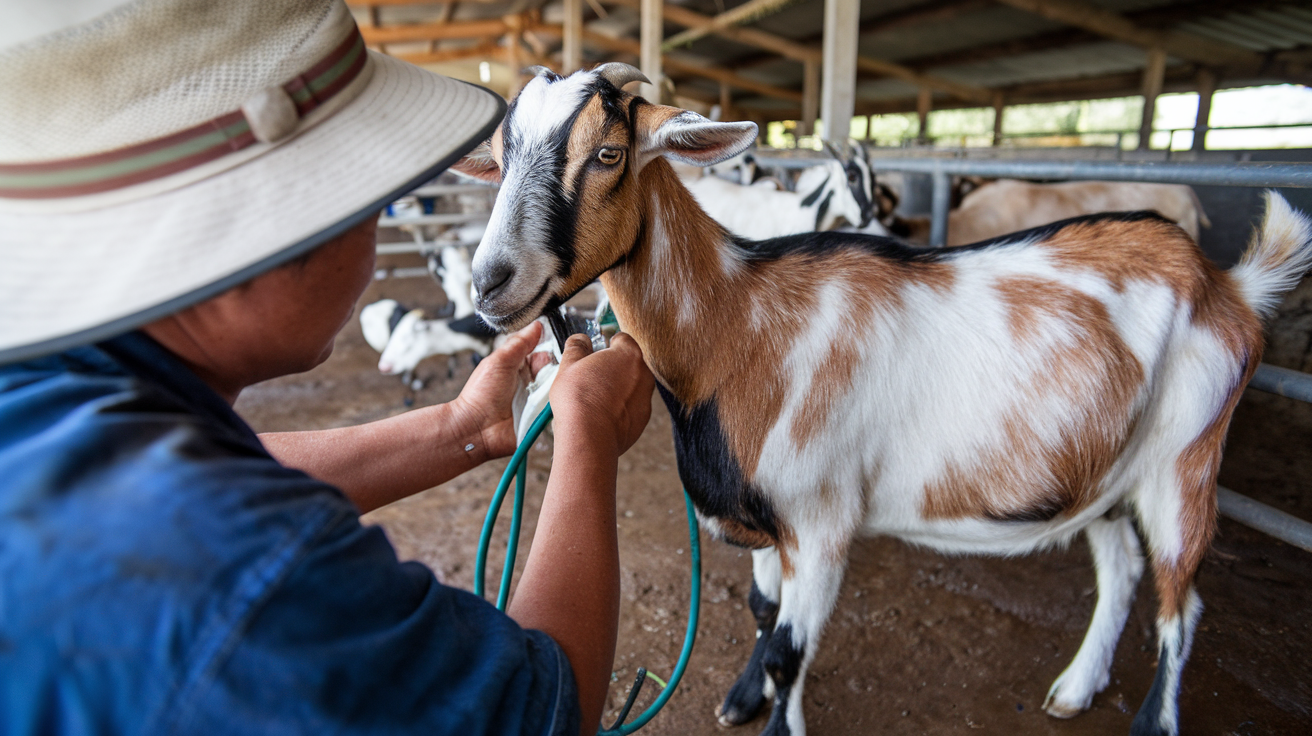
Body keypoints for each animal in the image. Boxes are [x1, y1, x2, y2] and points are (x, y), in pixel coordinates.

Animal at [453, 62, 1312, 734]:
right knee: (1123, 565)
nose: (489, 282)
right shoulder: (770, 520)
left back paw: (1149, 719)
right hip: (1103, 465)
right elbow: (764, 615)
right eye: (498, 158)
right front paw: (744, 697)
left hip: (1187, 458)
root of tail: (1226, 281)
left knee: (1180, 605)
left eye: (608, 153)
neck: (740, 326)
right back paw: (1076, 686)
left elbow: (793, 649)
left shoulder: (823, 521)